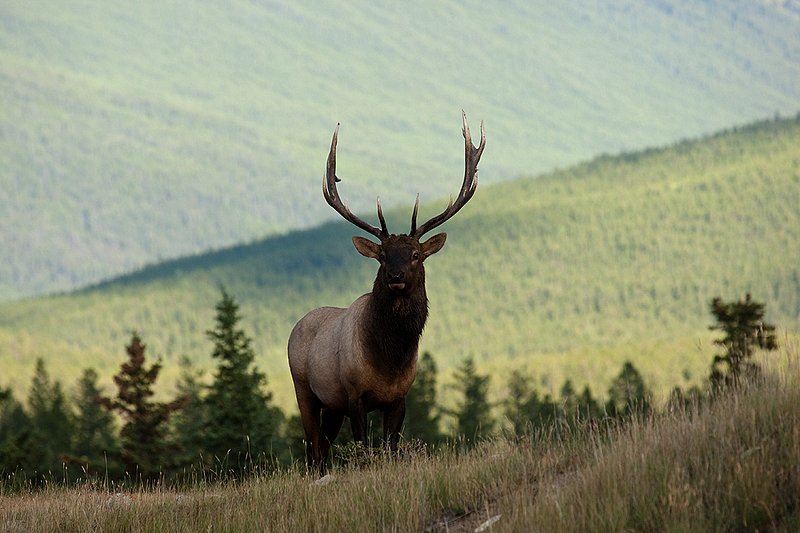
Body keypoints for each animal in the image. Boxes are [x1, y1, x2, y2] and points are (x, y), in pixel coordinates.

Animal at [288, 112, 485, 473]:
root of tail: (297, 325)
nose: (395, 275)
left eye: (416, 254)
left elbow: (391, 448)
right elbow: (365, 449)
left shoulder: (399, 397)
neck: (390, 359)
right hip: (304, 389)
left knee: (322, 445)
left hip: (331, 405)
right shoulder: (354, 394)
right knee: (312, 447)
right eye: (382, 255)